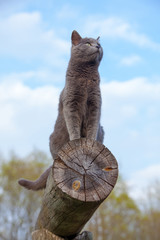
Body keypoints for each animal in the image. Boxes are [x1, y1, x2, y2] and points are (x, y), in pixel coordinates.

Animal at [18, 30, 104, 190]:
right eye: (88, 44)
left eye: (99, 44)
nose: (97, 47)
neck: (86, 79)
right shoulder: (71, 104)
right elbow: (73, 126)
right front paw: (77, 140)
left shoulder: (96, 105)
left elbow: (92, 127)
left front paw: (89, 142)